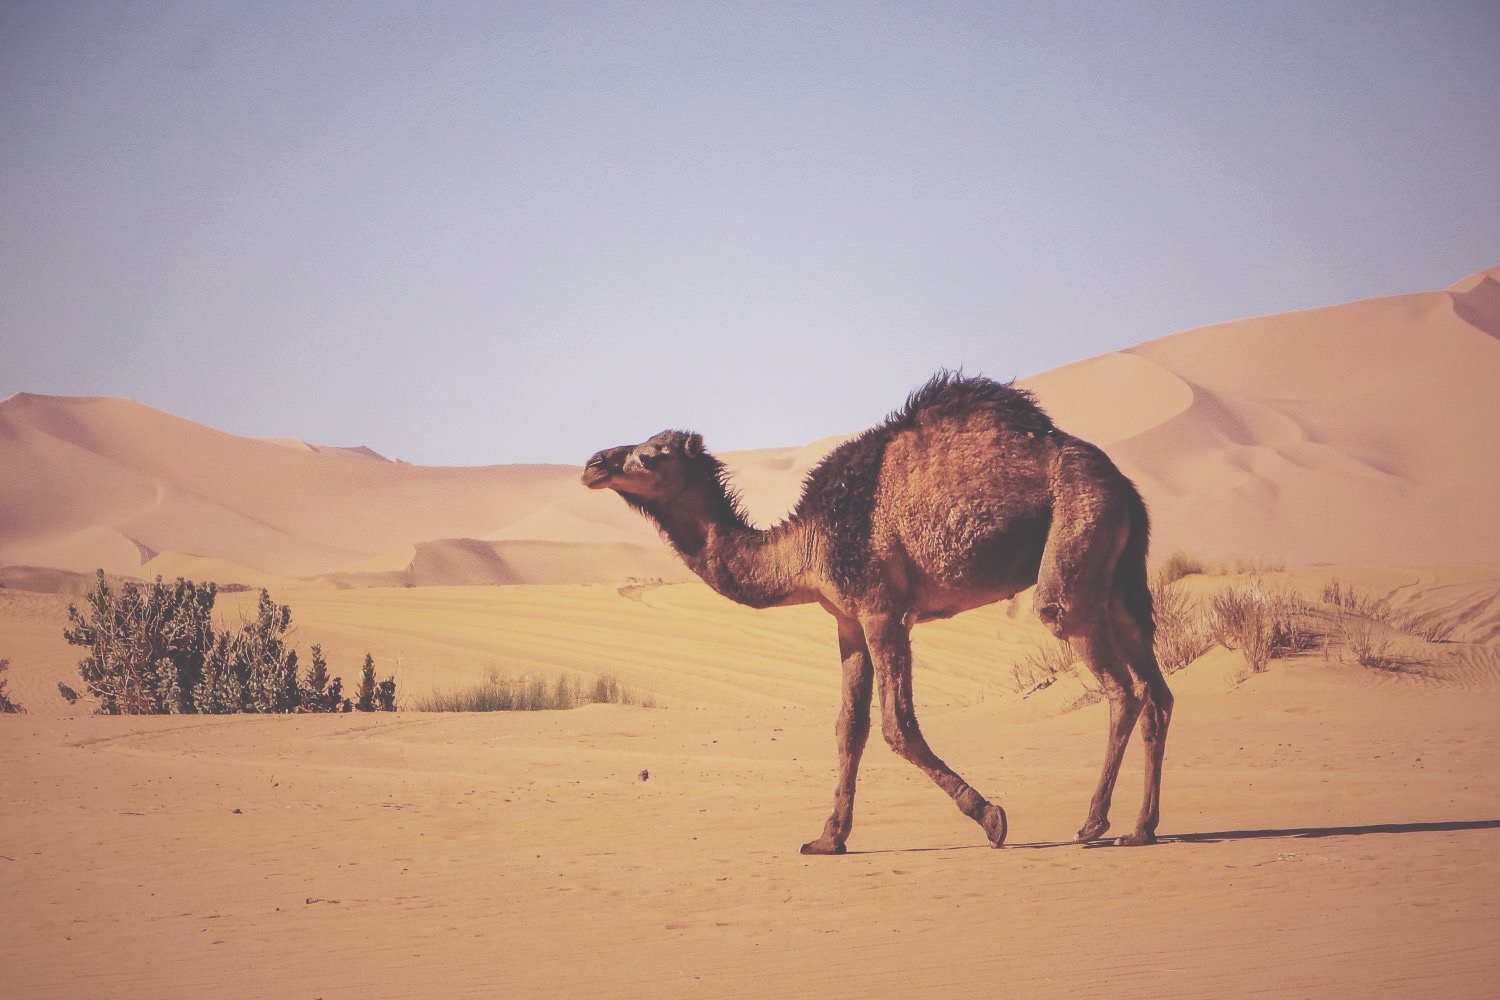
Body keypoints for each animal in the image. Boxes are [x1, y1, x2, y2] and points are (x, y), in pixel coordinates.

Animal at [585, 371, 1170, 857]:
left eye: (652, 455)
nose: (594, 464)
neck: (805, 545)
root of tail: (1123, 483)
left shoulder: (882, 610)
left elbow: (897, 725)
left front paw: (991, 818)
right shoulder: (846, 618)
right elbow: (849, 727)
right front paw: (827, 839)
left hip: (1076, 532)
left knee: (1114, 678)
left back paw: (1094, 823)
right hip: (1118, 574)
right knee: (1156, 690)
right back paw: (1141, 829)